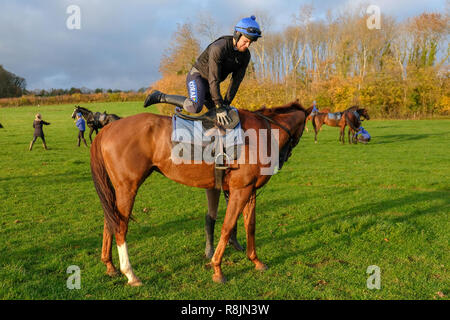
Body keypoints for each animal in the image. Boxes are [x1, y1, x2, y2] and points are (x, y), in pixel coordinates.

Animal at [89, 100, 312, 284]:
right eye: (303, 130)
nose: (283, 158)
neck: (262, 132)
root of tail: (108, 128)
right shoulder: (240, 190)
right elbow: (227, 226)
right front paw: (217, 268)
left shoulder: (250, 191)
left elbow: (250, 226)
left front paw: (255, 260)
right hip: (127, 188)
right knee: (119, 227)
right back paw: (130, 274)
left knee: (109, 221)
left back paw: (110, 266)